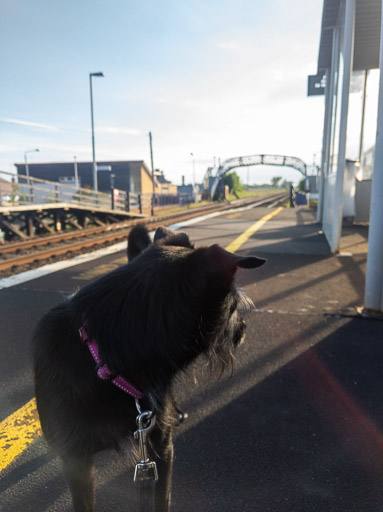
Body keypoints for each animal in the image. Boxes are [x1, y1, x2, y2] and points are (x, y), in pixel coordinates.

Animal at [32, 226, 268, 510]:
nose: (243, 329)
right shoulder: (76, 460)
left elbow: (161, 498)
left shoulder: (160, 446)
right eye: (233, 306)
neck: (108, 358)